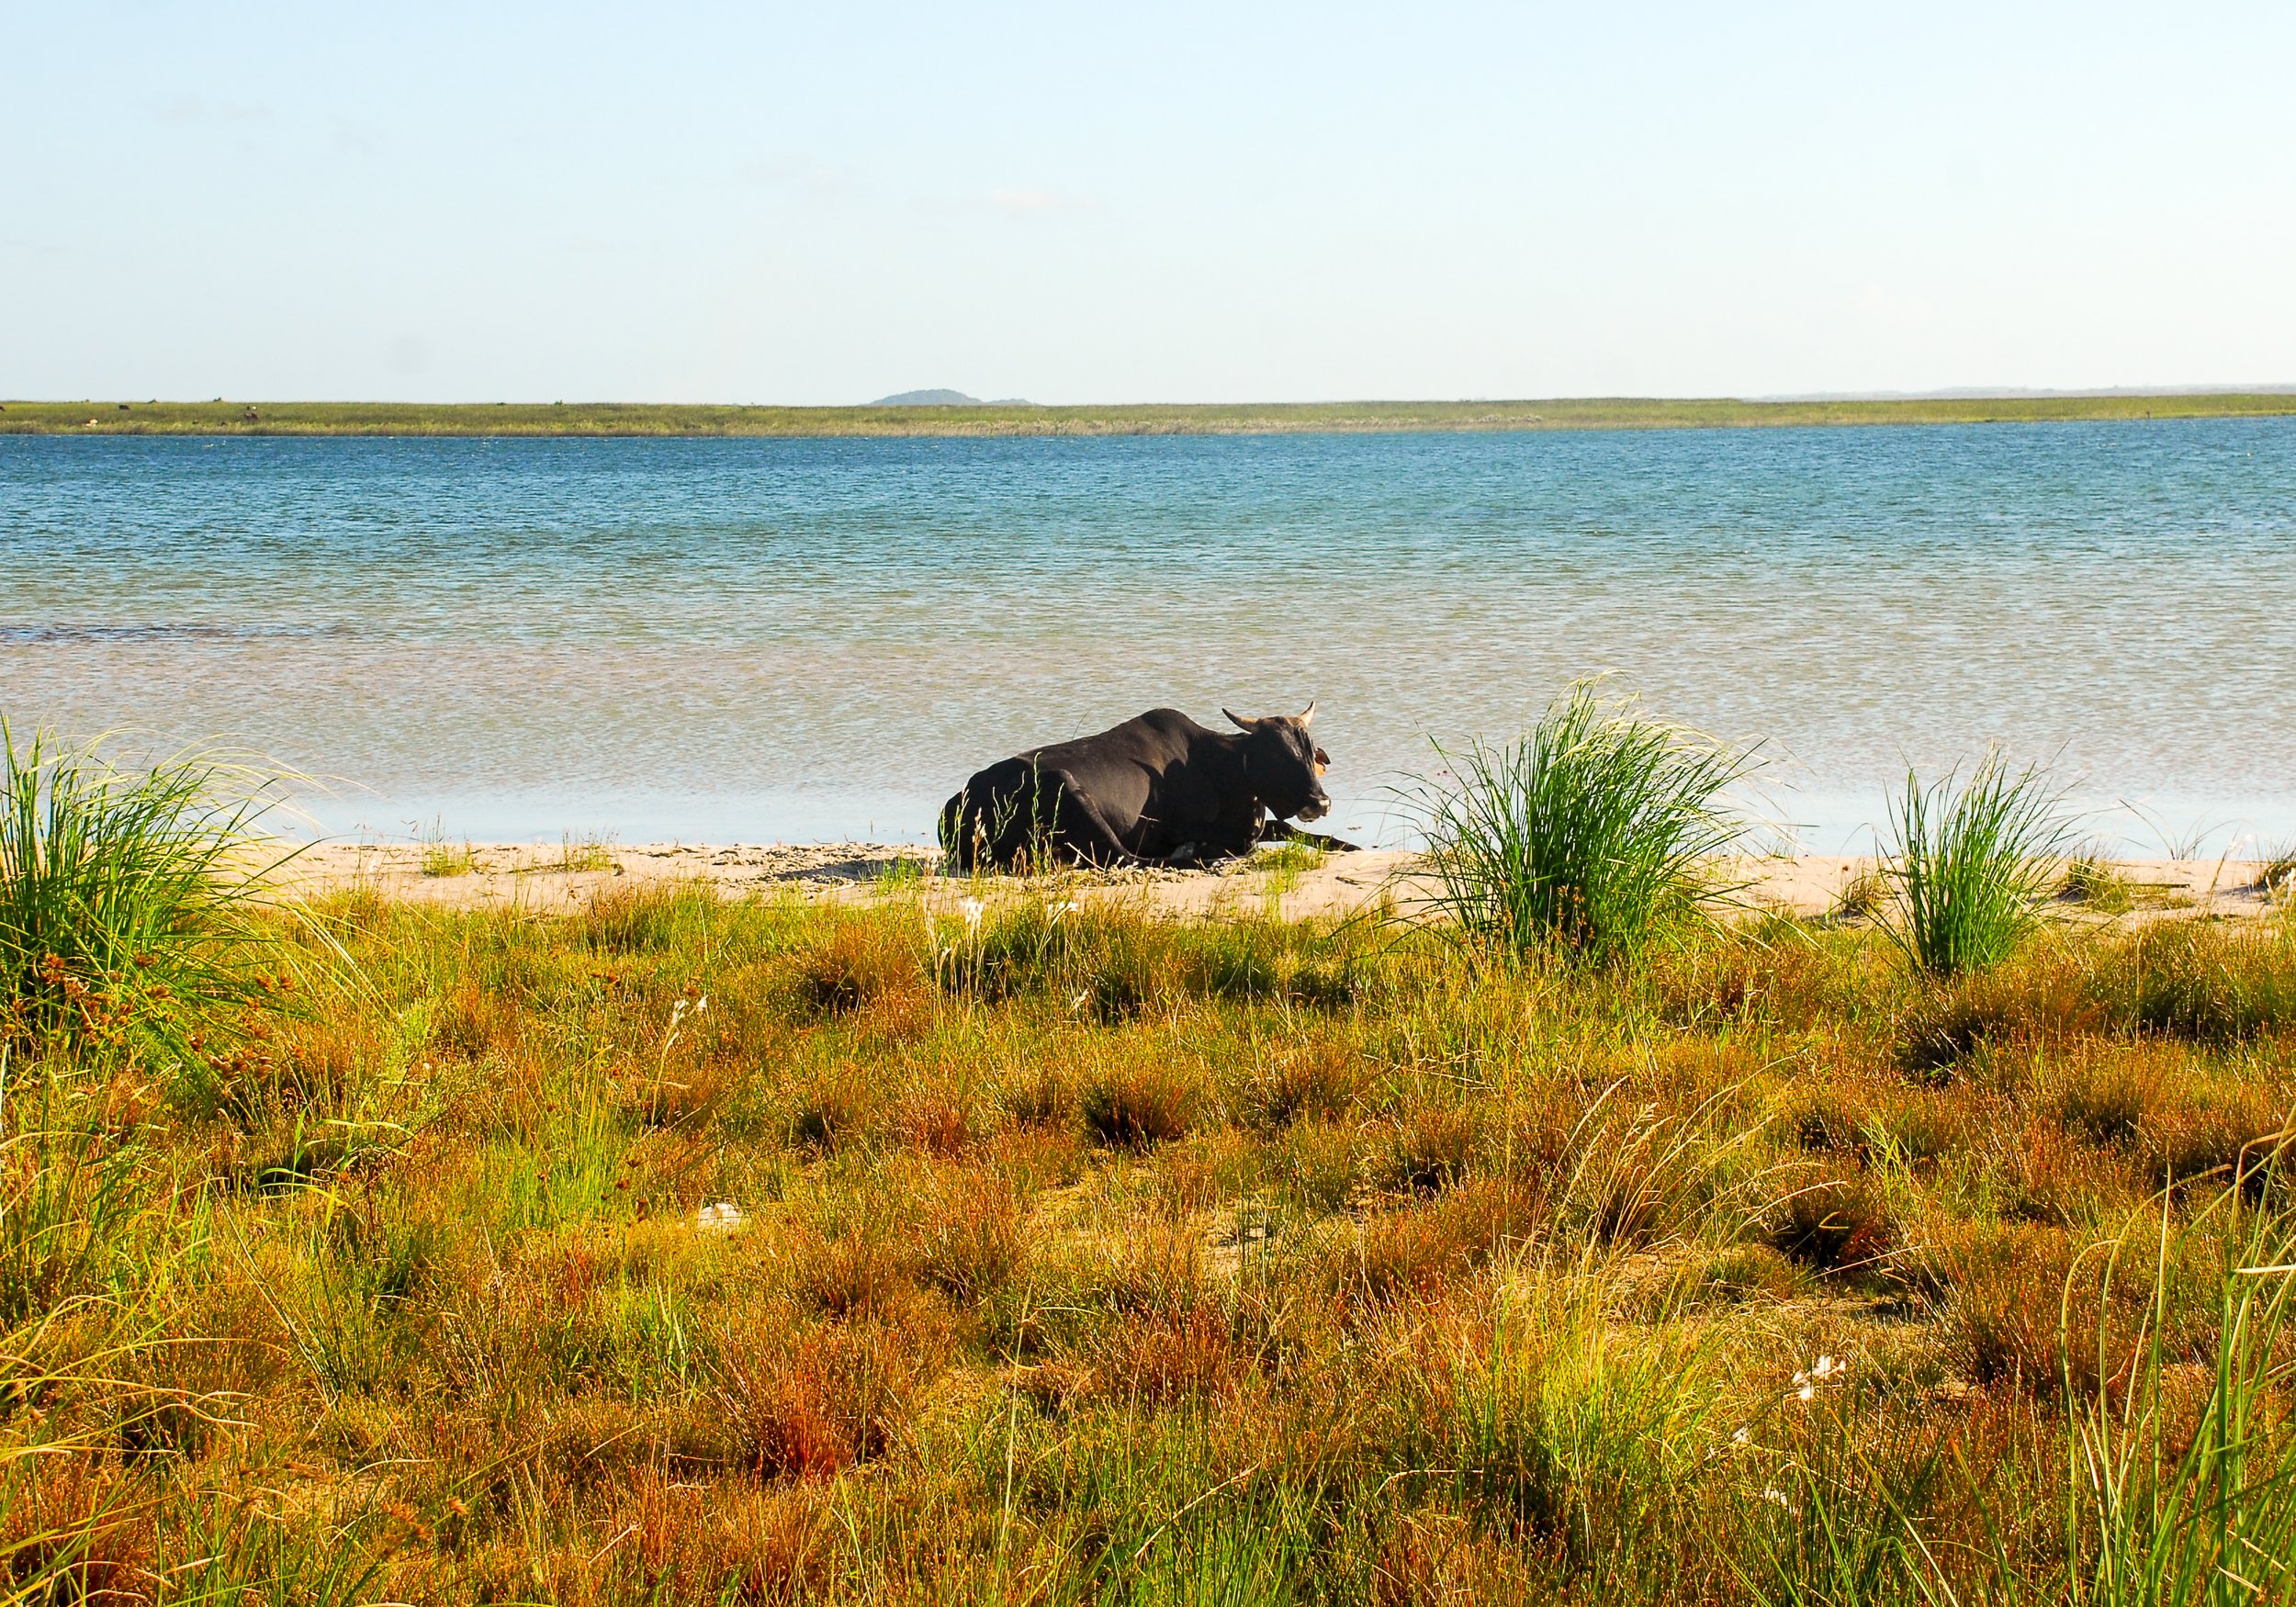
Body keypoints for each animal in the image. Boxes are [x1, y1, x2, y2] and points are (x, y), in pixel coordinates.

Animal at [939, 704, 1339, 871]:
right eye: (1274, 755)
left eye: (1308, 750)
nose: (1320, 802)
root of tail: (962, 800)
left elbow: (1287, 829)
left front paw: (1342, 844)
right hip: (1071, 790)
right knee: (1131, 859)